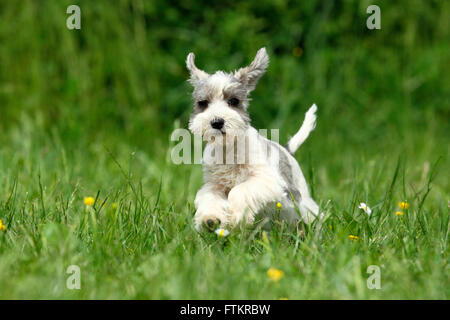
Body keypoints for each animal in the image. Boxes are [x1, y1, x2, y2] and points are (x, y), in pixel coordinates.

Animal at [186, 47, 320, 231]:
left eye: (233, 101)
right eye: (203, 103)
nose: (217, 122)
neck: (229, 150)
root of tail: (287, 150)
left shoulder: (267, 179)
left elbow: (240, 190)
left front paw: (237, 217)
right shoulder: (214, 185)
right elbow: (209, 197)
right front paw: (210, 218)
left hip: (300, 199)